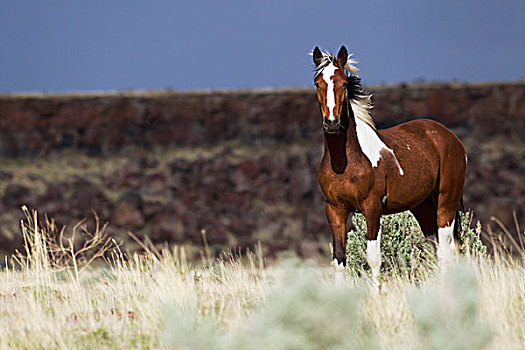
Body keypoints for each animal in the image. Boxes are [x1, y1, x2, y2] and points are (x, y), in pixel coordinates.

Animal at [310, 45, 464, 284]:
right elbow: (339, 260)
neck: (345, 163)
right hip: (423, 207)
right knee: (437, 250)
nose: (332, 123)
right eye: (318, 83)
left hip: (446, 204)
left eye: (343, 83)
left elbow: (373, 258)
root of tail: (449, 137)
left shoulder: (372, 208)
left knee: (447, 252)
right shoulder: (335, 210)